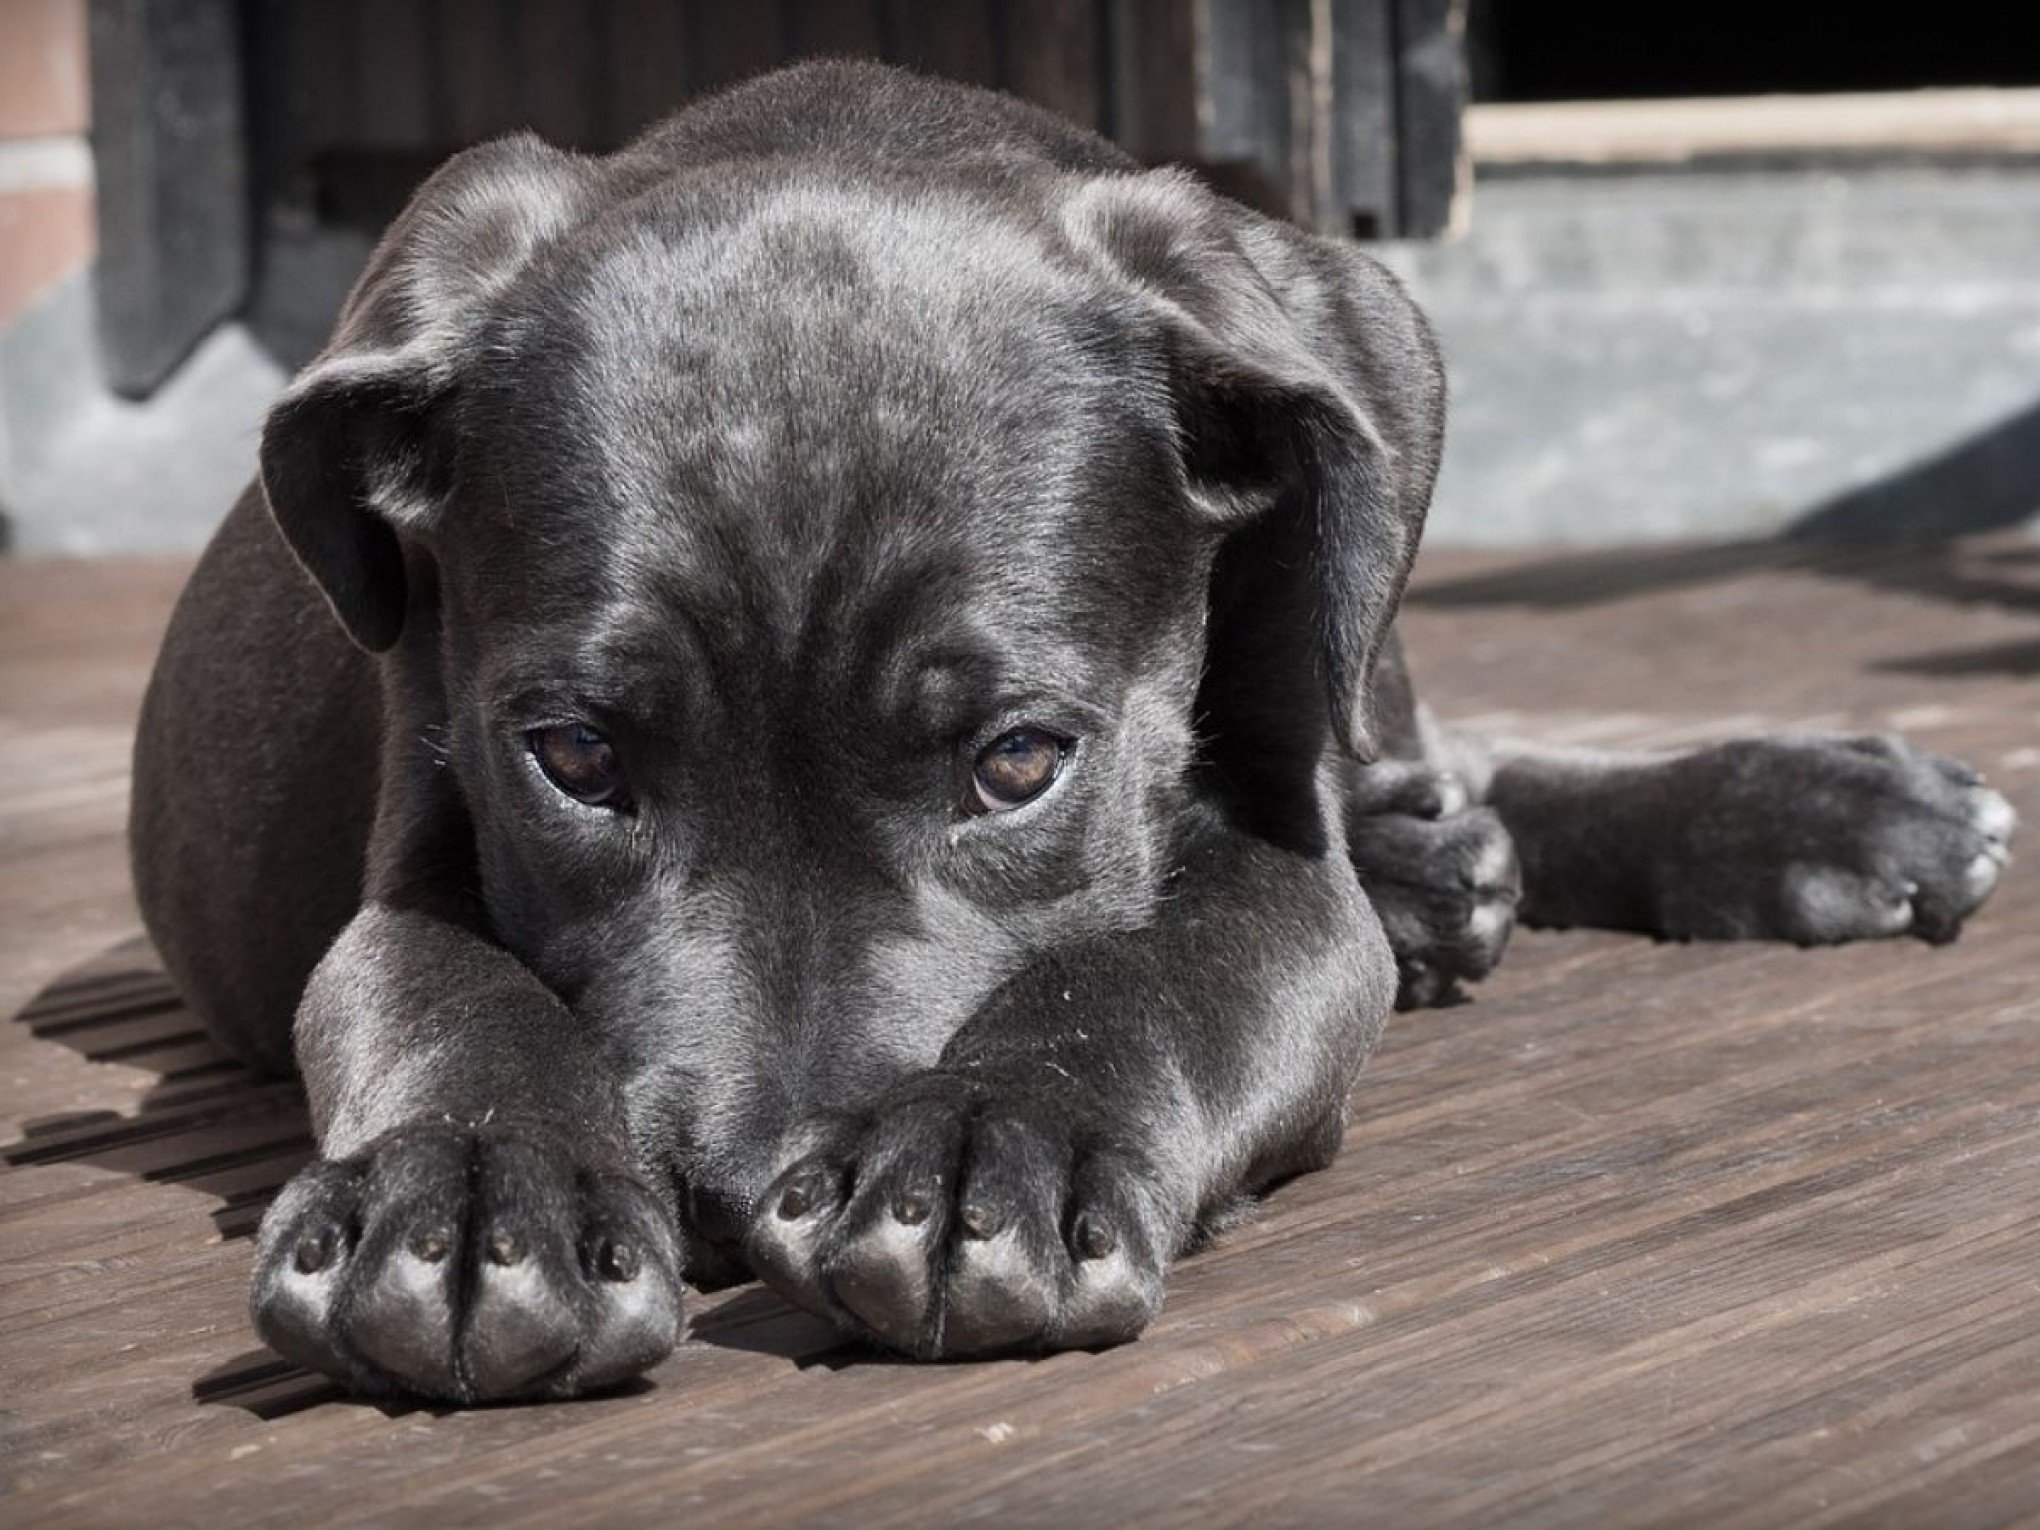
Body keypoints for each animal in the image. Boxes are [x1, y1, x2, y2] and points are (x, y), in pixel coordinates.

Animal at [127, 56, 2007, 1403]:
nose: (735, 1198)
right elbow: (442, 991)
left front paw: (988, 1145)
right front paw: (464, 1194)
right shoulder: (418, 840)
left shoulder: (1276, 872)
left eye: (1019, 760)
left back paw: (1811, 810)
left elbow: (1152, 970)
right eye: (576, 760)